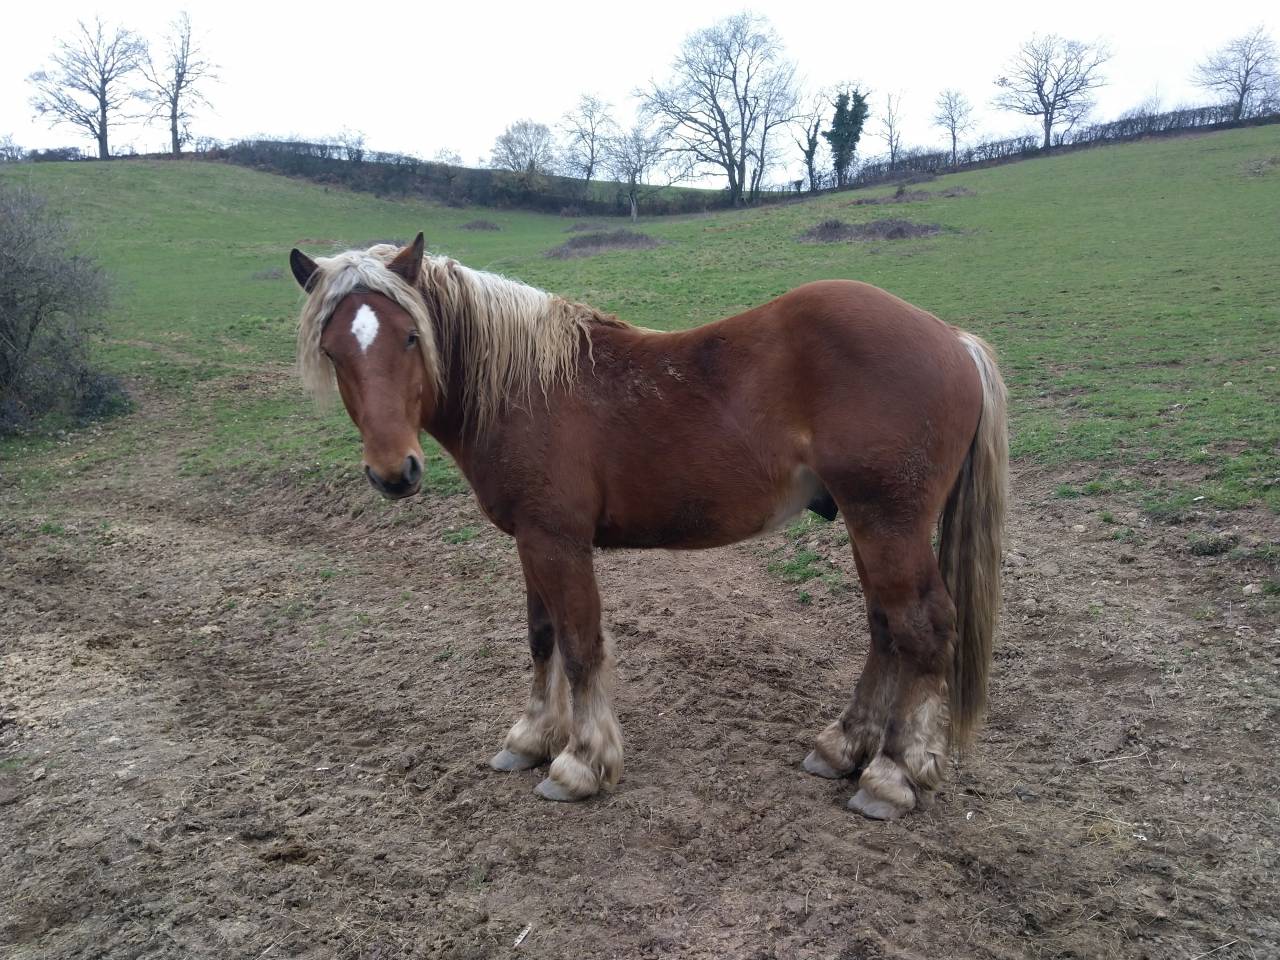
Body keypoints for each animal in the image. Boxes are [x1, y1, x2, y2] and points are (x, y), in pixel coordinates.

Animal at [289, 233, 1008, 820]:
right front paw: (531, 738)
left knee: (921, 631)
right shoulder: (530, 541)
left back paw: (893, 775)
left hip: (888, 525)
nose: (394, 473)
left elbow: (580, 644)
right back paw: (843, 748)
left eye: (411, 336)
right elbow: (542, 637)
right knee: (887, 629)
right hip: (870, 528)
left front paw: (581, 764)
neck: (527, 388)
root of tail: (952, 339)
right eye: (333, 350)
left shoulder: (559, 541)